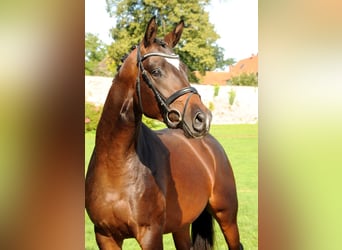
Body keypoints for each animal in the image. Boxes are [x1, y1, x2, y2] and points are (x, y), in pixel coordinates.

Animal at [85, 16, 243, 249]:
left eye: (184, 69)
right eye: (156, 71)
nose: (202, 118)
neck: (116, 164)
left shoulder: (150, 234)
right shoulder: (104, 235)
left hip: (227, 215)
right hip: (181, 226)